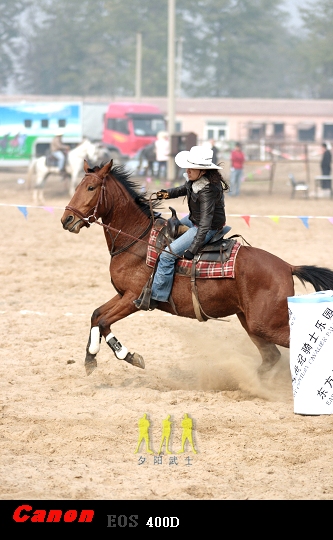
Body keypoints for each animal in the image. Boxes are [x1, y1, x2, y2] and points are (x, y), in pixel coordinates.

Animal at [60, 159, 333, 376]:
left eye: (91, 187)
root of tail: (287, 266)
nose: (66, 219)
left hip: (266, 324)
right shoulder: (121, 294)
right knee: (271, 357)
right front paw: (91, 358)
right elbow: (96, 315)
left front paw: (129, 356)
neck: (137, 239)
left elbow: (104, 321)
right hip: (251, 323)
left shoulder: (133, 299)